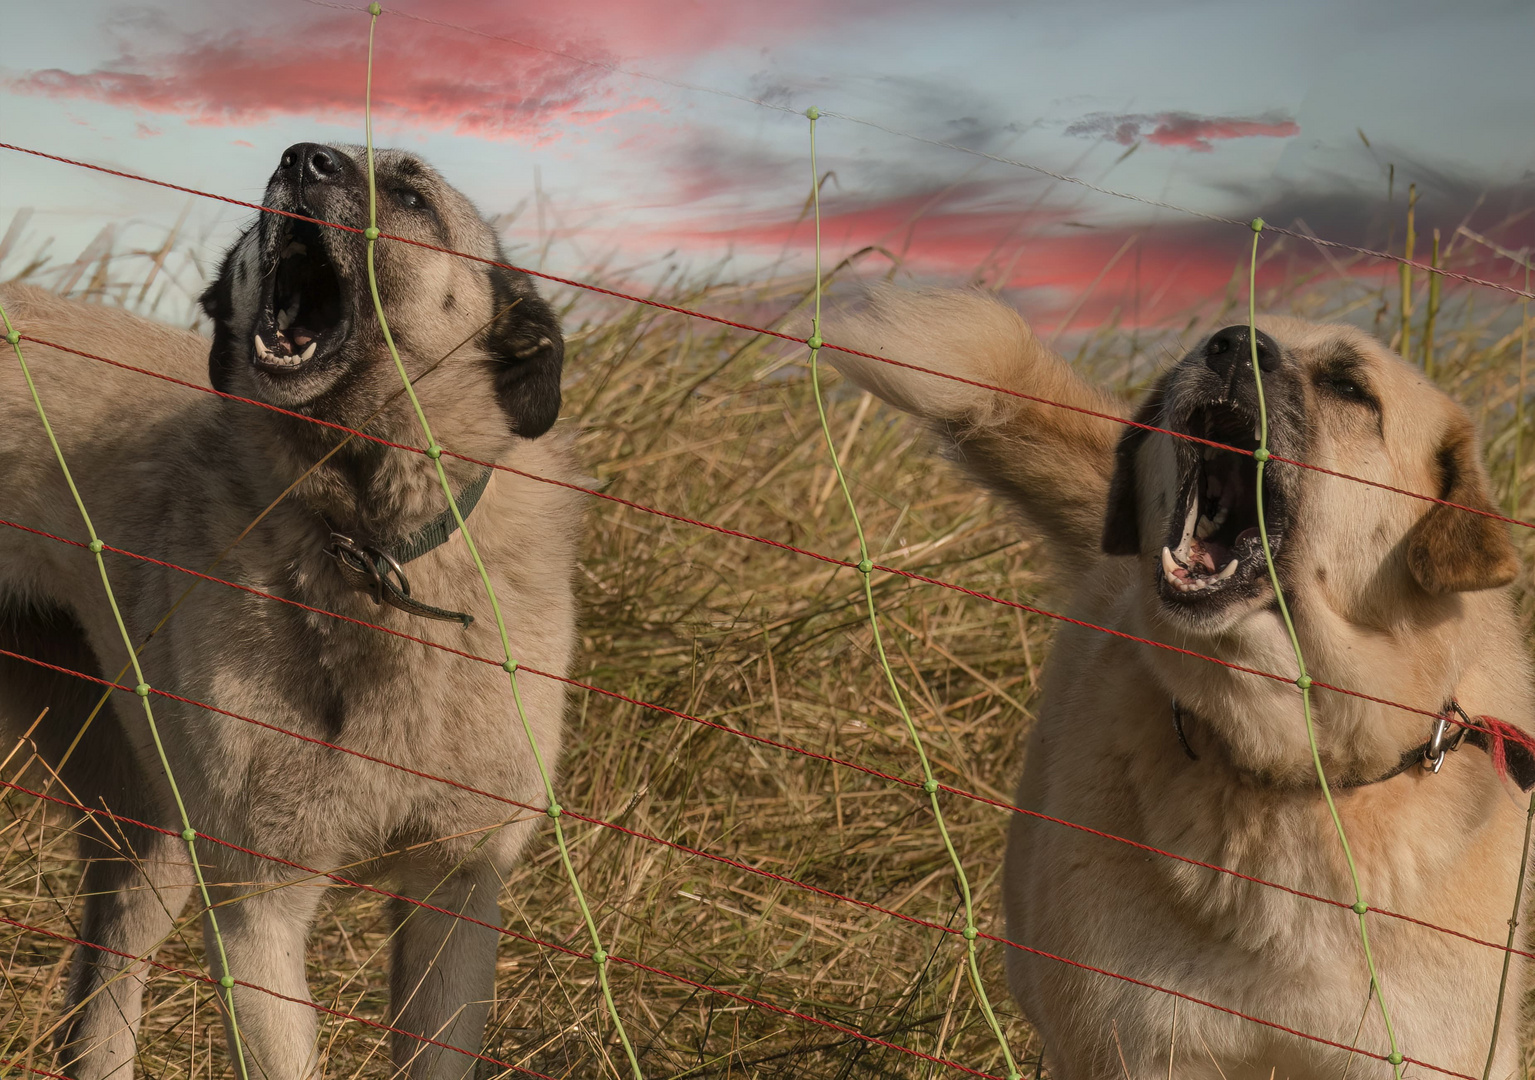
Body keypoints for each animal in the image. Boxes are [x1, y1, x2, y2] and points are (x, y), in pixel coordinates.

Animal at [0, 143, 580, 1080]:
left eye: (410, 194)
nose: (304, 159)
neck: (367, 547)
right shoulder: (258, 903)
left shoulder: (455, 890)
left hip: (151, 838)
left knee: (103, 998)